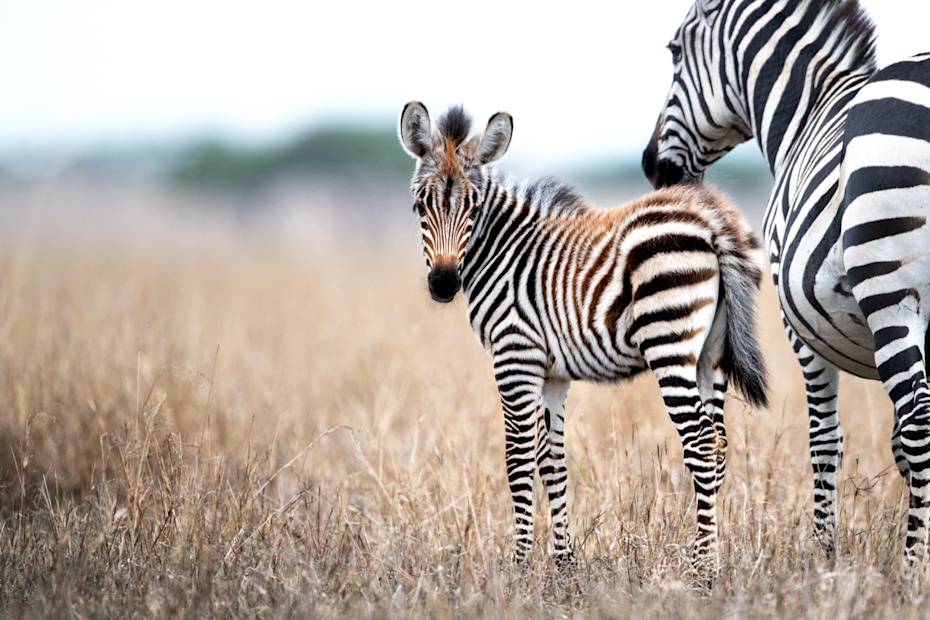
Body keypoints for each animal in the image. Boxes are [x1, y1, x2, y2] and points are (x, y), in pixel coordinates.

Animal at [399, 100, 769, 566]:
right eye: (420, 206)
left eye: (473, 207)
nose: (444, 283)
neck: (501, 250)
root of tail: (712, 220)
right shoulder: (553, 373)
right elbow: (552, 461)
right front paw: (564, 562)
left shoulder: (514, 356)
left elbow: (518, 459)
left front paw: (519, 565)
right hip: (711, 352)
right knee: (718, 444)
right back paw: (707, 555)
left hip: (668, 341)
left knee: (701, 444)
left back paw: (704, 569)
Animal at [642, 0, 930, 561]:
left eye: (674, 53)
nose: (651, 168)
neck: (809, 111)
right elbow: (896, 450)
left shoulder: (801, 329)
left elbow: (825, 441)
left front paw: (824, 554)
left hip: (889, 296)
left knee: (920, 423)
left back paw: (912, 565)